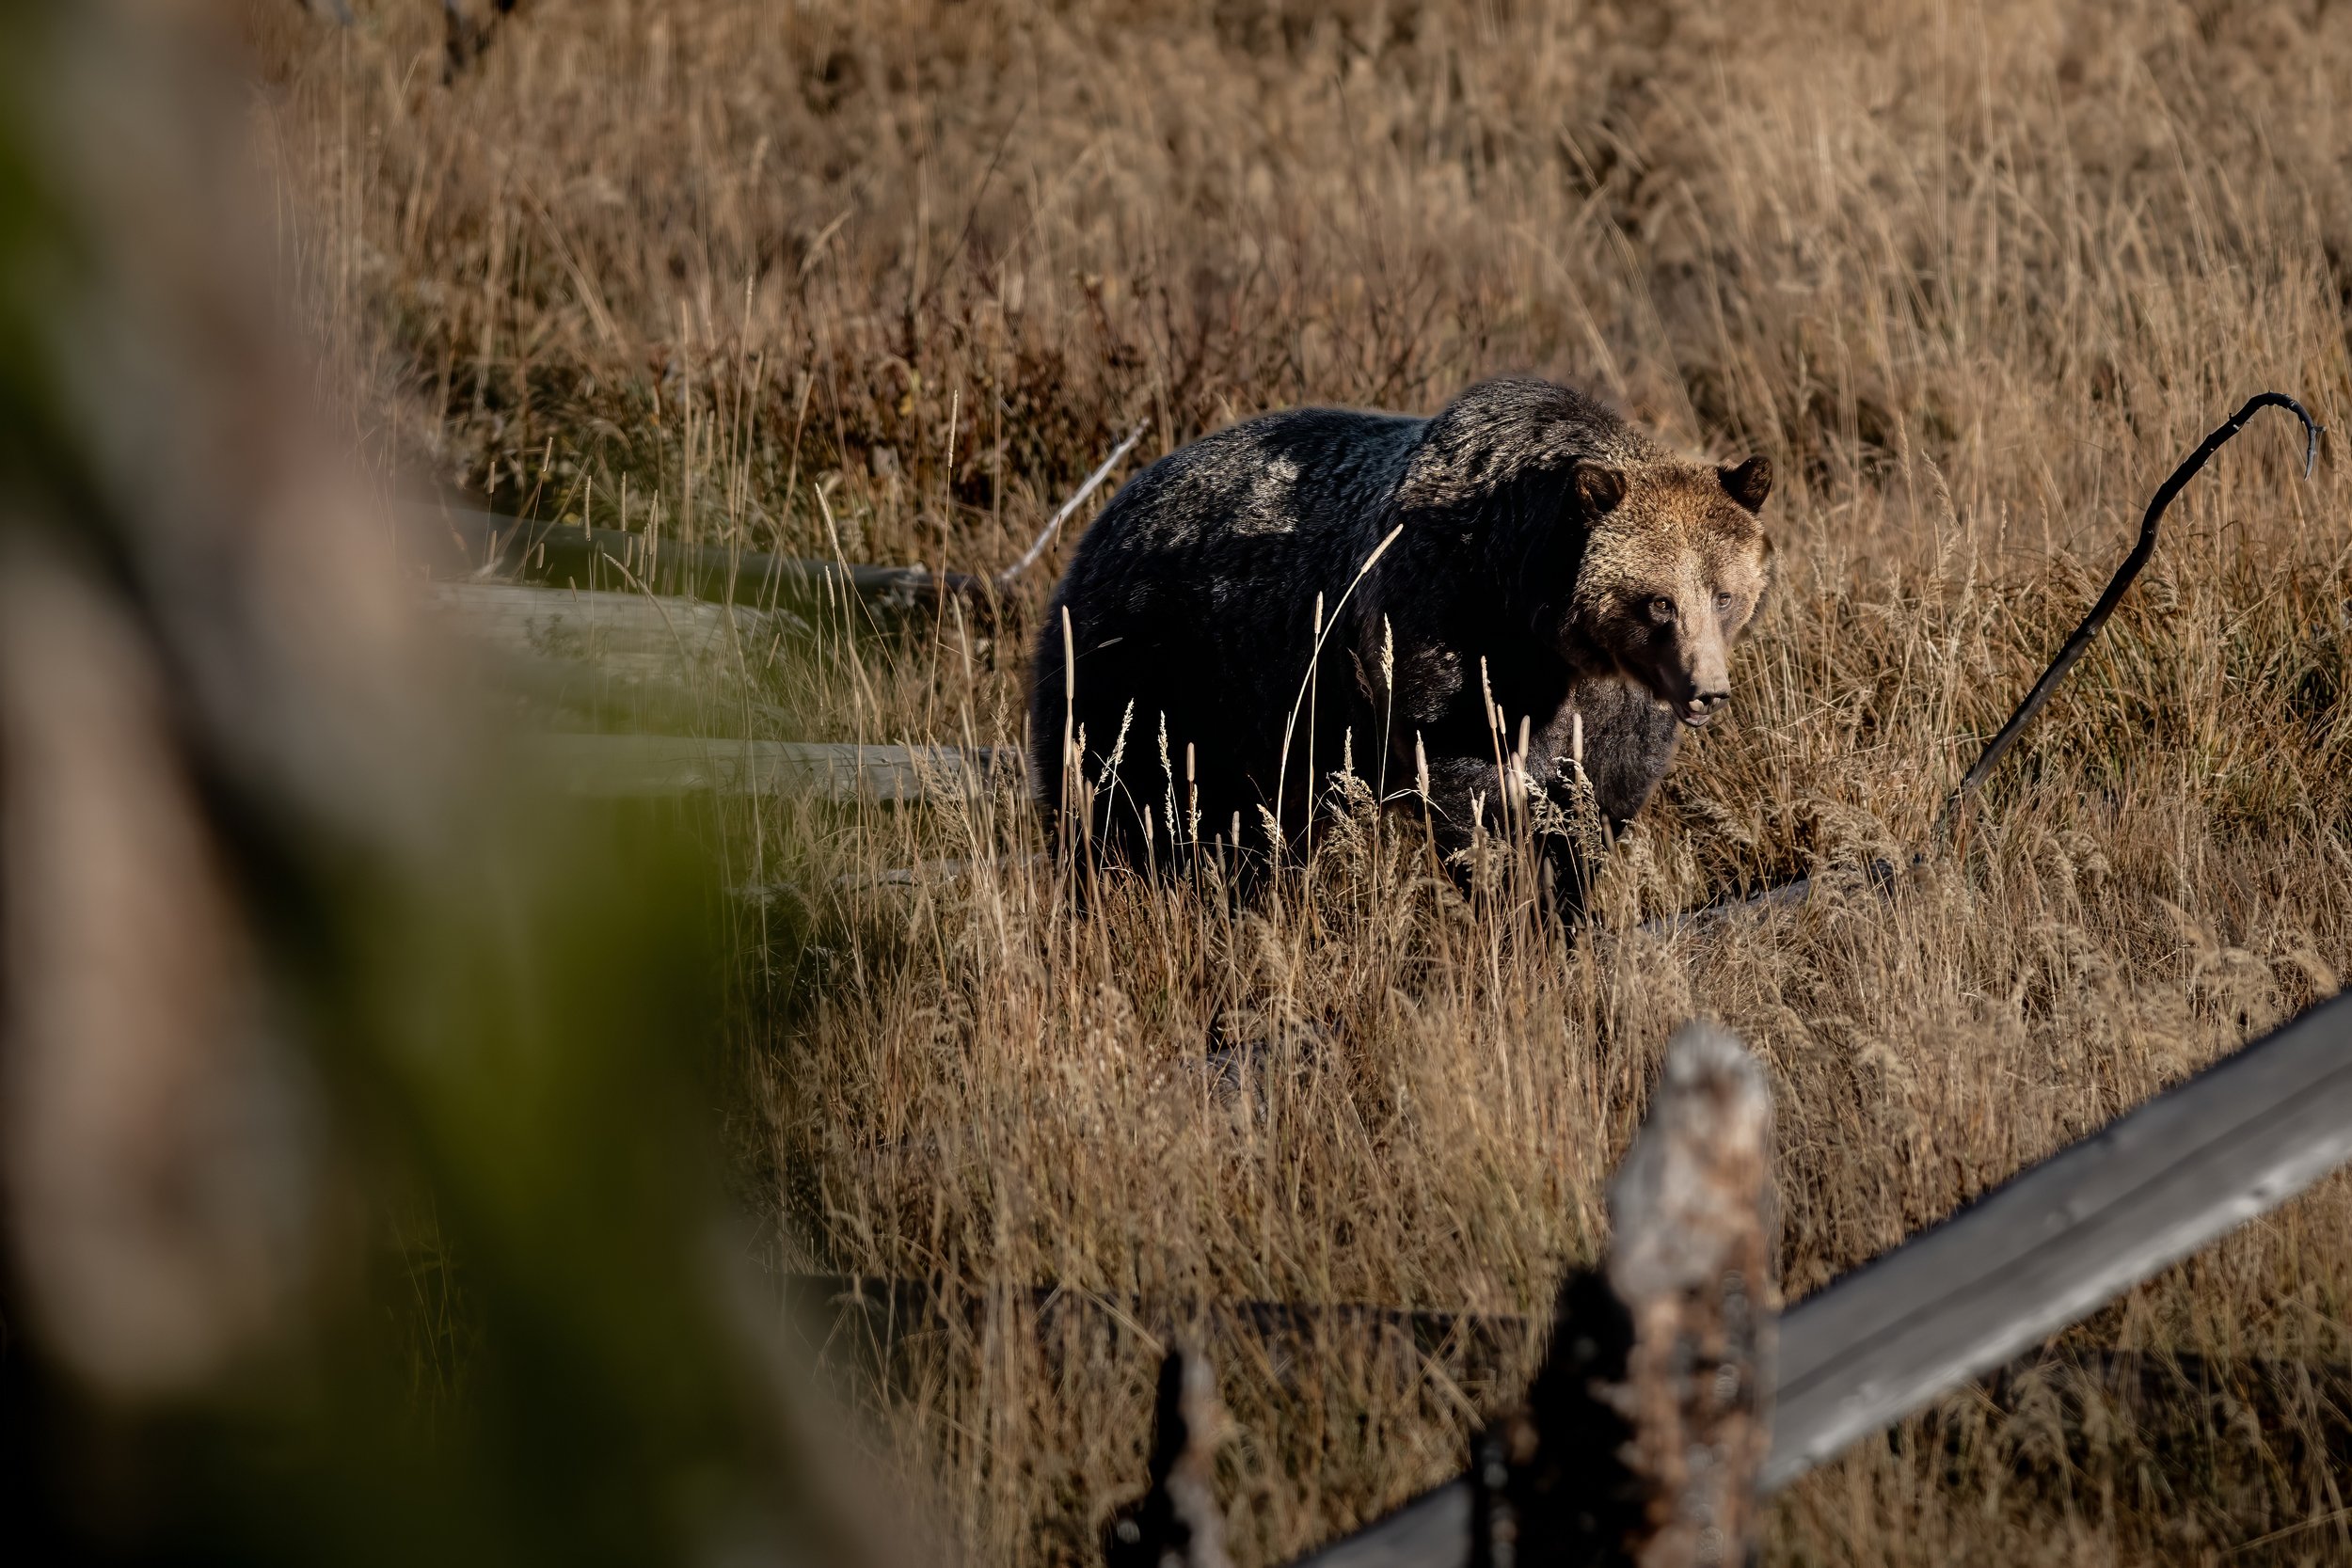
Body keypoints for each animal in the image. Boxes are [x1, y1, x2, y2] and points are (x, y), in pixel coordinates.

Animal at [1027, 377, 1772, 918]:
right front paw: (1507, 898)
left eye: (1724, 594)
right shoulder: (1442, 641)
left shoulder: (1613, 710)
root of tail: (1104, 513)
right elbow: (1468, 788)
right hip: (1151, 672)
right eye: (1659, 601)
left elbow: (1595, 807)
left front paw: (1567, 906)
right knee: (1114, 808)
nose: (1707, 692)